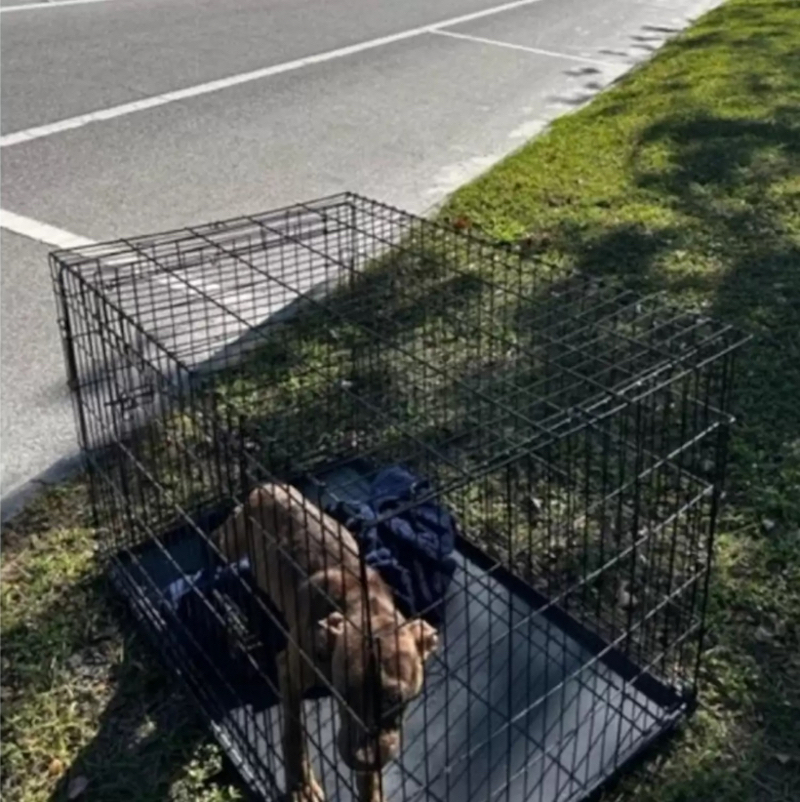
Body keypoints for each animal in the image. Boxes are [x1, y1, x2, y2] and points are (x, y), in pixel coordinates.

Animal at [212, 482, 438, 800]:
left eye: (394, 699)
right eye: (342, 694)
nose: (361, 761)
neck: (363, 604)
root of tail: (270, 485)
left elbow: (370, 781)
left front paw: (370, 789)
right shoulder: (290, 670)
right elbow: (293, 732)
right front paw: (300, 784)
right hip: (231, 539)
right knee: (216, 537)